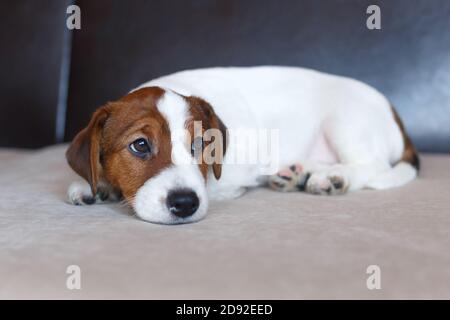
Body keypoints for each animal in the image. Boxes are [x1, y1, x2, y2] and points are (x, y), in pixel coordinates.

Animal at [66, 66, 418, 224]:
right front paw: (97, 186)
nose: (185, 204)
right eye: (140, 145)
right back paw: (297, 172)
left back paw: (333, 177)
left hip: (346, 122)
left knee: (372, 164)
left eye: (200, 145)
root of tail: (394, 114)